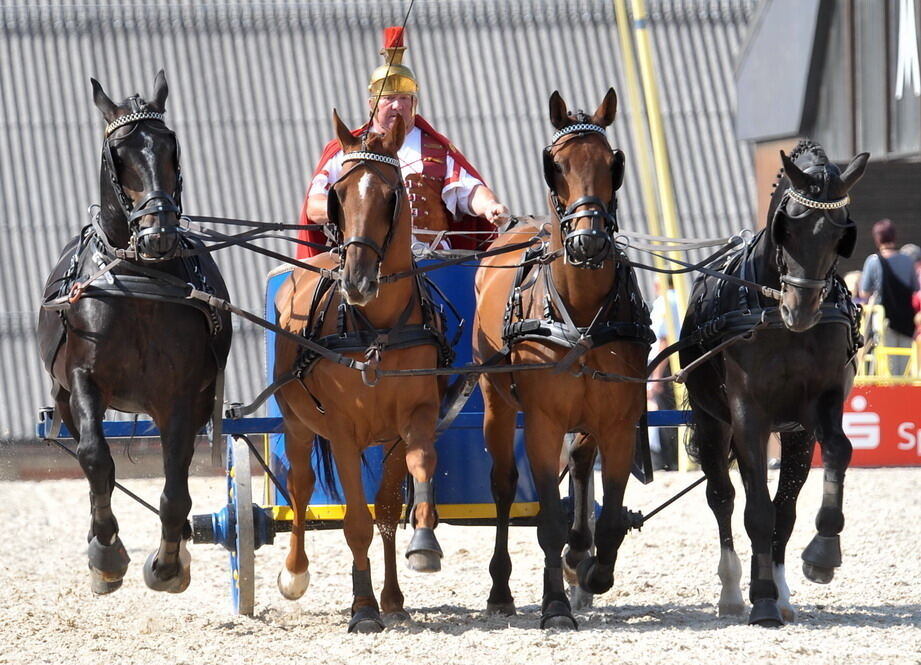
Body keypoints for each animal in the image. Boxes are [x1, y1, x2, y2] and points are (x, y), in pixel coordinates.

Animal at [36, 71, 232, 592]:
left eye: (170, 148)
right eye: (118, 154)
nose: (157, 232)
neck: (141, 280)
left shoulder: (180, 396)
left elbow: (175, 488)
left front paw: (168, 563)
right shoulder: (84, 378)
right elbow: (95, 458)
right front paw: (106, 552)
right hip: (66, 396)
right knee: (91, 462)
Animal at [272, 111, 448, 632]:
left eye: (391, 195)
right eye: (338, 194)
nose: (357, 280)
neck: (378, 328)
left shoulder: (412, 419)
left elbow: (398, 496)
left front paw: (418, 553)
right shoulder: (343, 430)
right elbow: (355, 522)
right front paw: (363, 607)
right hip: (296, 422)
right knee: (300, 486)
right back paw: (295, 573)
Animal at [474, 91, 656, 632]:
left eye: (613, 164)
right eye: (555, 166)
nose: (588, 240)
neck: (578, 307)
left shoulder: (618, 421)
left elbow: (611, 515)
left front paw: (592, 571)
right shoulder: (542, 422)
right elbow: (547, 520)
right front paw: (555, 605)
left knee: (577, 463)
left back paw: (580, 555)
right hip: (496, 403)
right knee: (505, 486)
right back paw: (501, 590)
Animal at [676, 139, 868, 624]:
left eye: (840, 233)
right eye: (789, 226)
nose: (801, 310)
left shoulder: (819, 404)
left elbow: (837, 452)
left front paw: (821, 556)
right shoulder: (748, 413)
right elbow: (755, 511)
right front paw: (760, 599)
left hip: (794, 435)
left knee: (785, 506)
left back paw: (780, 590)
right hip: (712, 422)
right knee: (724, 497)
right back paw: (732, 592)